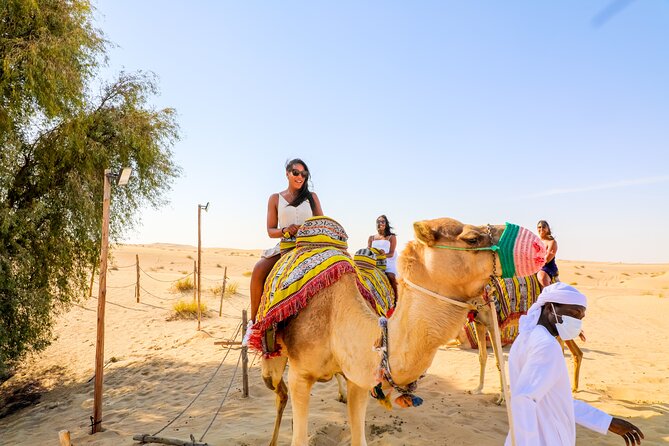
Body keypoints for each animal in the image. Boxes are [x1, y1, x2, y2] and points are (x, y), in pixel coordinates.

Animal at [259, 217, 545, 446]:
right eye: (472, 238)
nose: (537, 245)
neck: (335, 316)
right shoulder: (301, 374)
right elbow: (299, 437)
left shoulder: (359, 377)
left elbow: (359, 438)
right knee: (278, 392)